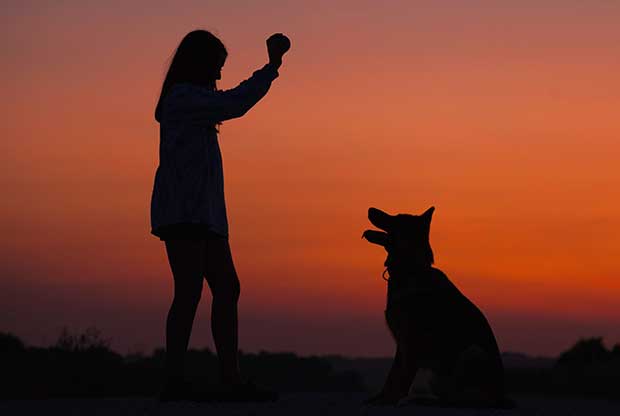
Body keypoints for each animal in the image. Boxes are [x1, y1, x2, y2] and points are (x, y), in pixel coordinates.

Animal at [364, 206, 508, 408]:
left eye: (396, 218)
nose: (370, 209)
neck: (412, 269)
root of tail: (502, 397)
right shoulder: (402, 343)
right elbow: (391, 377)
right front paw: (382, 399)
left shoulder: (411, 343)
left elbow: (401, 380)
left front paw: (390, 401)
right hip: (437, 376)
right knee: (447, 396)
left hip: (472, 353)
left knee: (465, 398)